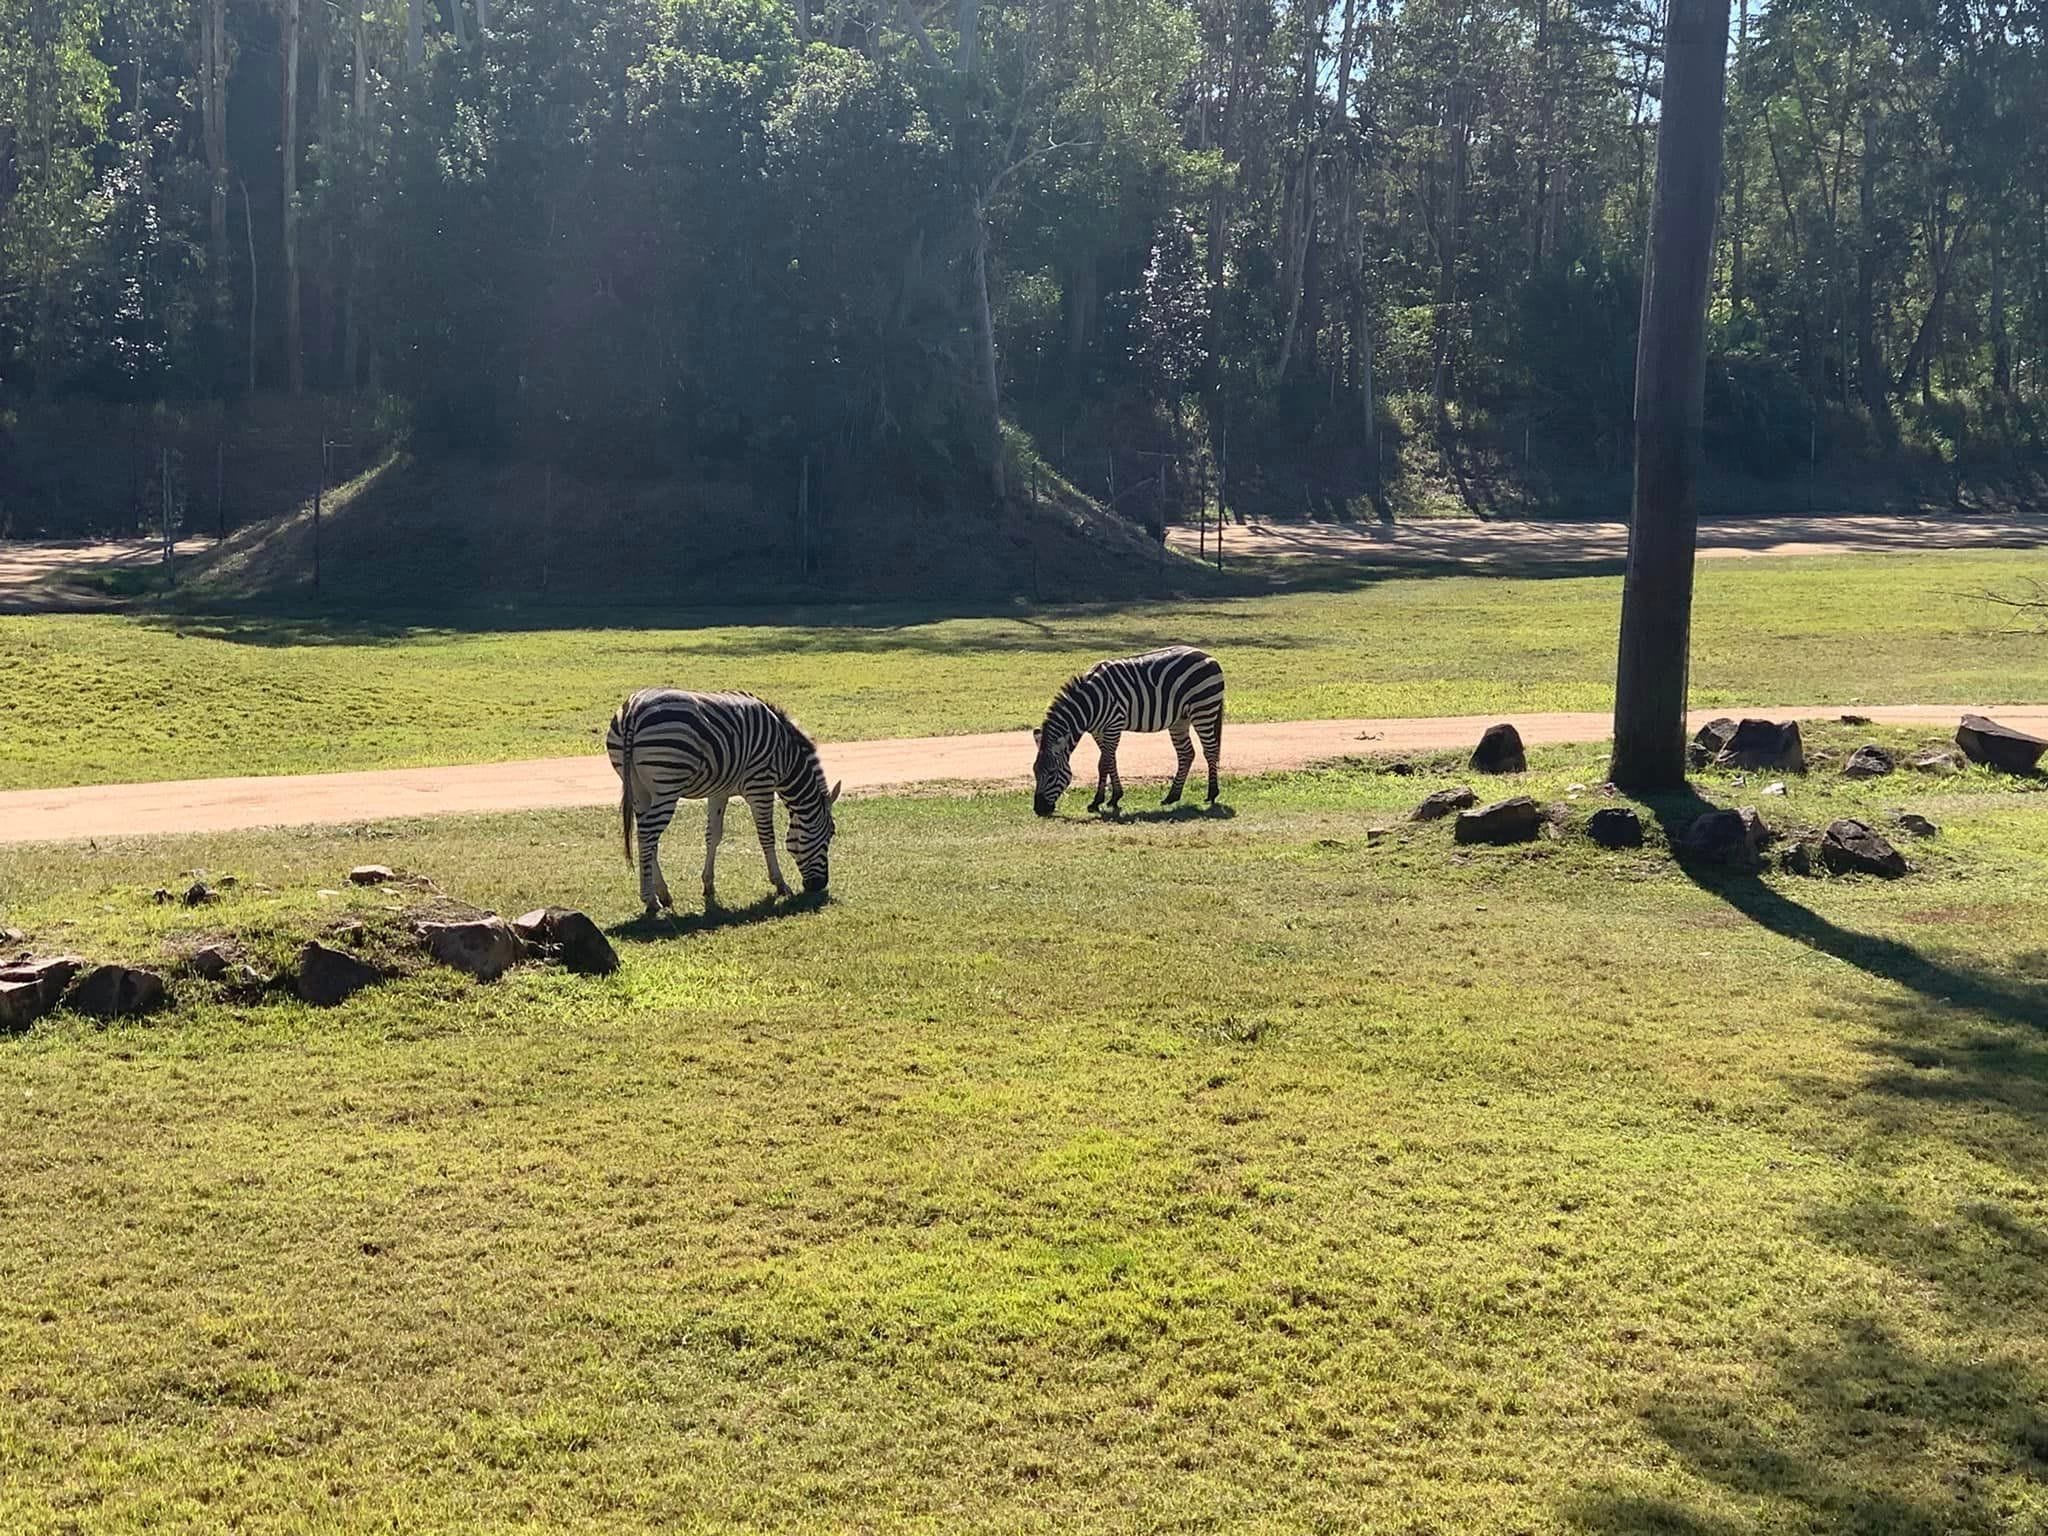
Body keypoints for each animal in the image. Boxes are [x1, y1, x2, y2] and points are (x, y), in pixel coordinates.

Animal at [606, 696, 839, 913]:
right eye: (830, 834)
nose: (820, 885)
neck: (786, 757)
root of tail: (633, 710)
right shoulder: (761, 785)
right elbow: (767, 837)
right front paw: (780, 885)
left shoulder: (719, 791)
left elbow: (713, 835)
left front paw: (708, 885)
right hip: (666, 787)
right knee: (647, 836)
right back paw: (650, 900)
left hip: (639, 790)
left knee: (645, 836)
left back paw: (663, 894)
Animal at [1032, 647, 1220, 819]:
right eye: (1035, 772)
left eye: (1052, 774)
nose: (1039, 810)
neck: (1090, 704)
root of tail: (1207, 655)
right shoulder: (1098, 731)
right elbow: (1110, 761)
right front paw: (1114, 798)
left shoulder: (1114, 725)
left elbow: (1104, 763)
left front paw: (1097, 801)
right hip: (1180, 719)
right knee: (1186, 753)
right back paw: (1172, 796)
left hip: (1204, 709)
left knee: (1210, 750)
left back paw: (1212, 794)